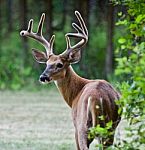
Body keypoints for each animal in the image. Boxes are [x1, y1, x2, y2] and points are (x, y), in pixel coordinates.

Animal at [20, 10, 120, 150]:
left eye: (59, 64)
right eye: (46, 63)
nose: (43, 77)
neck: (74, 95)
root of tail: (97, 98)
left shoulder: (76, 127)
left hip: (83, 126)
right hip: (109, 129)